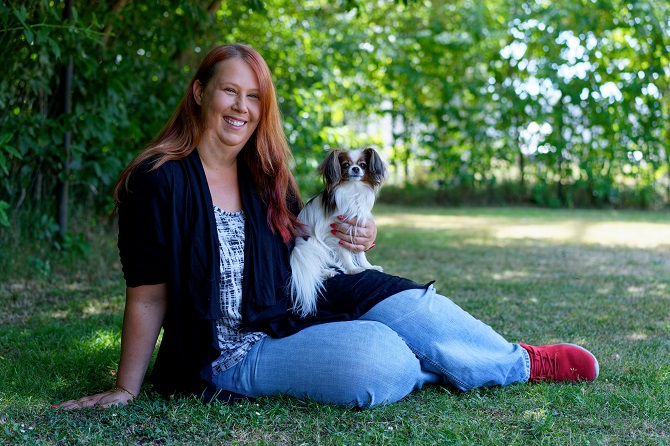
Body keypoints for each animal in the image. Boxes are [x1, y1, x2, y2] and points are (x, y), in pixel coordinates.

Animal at [288, 147, 388, 318]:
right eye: (346, 165)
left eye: (363, 165)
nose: (355, 169)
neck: (353, 189)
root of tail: (297, 246)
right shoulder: (335, 233)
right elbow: (346, 254)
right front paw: (353, 269)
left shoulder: (356, 228)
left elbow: (360, 253)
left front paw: (368, 267)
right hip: (312, 244)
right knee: (313, 264)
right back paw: (326, 272)